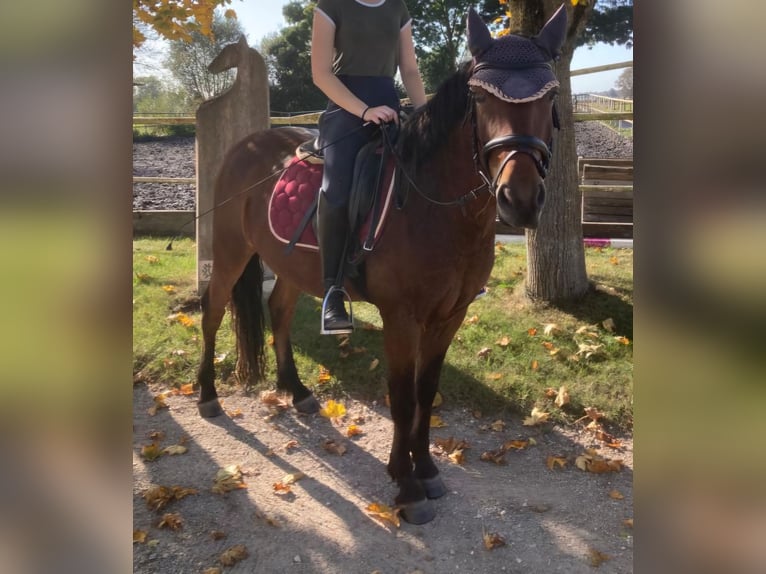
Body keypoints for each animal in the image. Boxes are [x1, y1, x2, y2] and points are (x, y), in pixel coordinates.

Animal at [196, 5, 568, 528]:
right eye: (478, 96)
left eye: (551, 94)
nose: (520, 199)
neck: (434, 206)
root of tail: (244, 146)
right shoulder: (401, 317)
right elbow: (402, 395)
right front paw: (407, 486)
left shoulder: (450, 316)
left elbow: (426, 391)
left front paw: (427, 470)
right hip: (231, 250)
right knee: (212, 311)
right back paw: (207, 395)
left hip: (292, 264)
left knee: (279, 310)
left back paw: (297, 391)